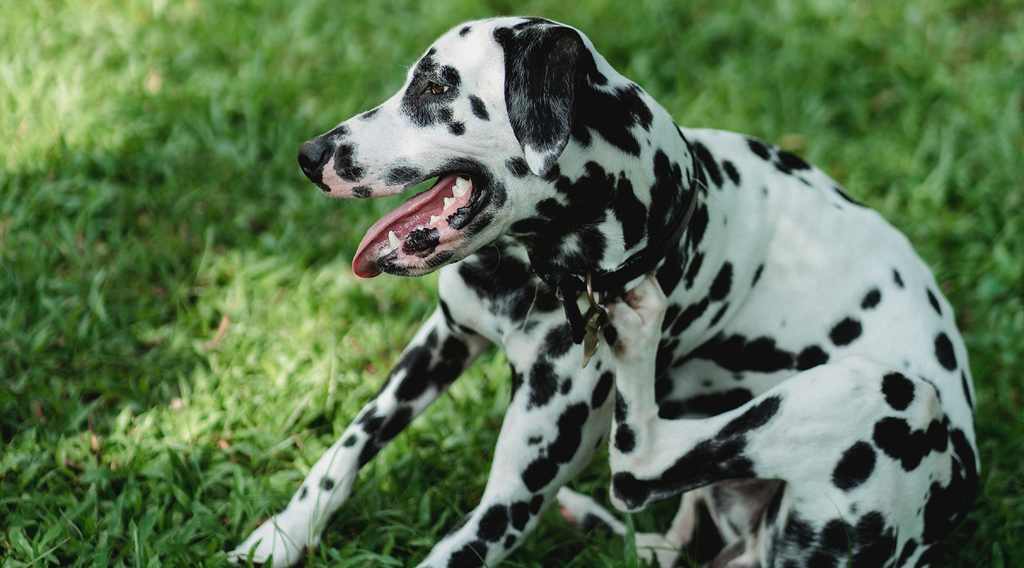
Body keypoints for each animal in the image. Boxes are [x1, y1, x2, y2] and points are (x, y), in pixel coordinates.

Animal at [228, 15, 978, 564]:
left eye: (438, 87)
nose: (311, 156)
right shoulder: (444, 340)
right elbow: (348, 446)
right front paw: (280, 536)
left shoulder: (512, 498)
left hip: (893, 394)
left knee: (637, 467)